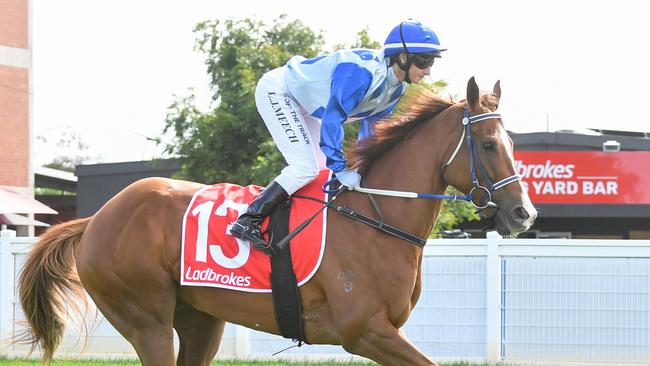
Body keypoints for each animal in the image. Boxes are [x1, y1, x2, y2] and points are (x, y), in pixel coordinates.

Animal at [17, 76, 536, 364]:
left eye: (512, 142)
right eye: (489, 144)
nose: (523, 213)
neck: (375, 214)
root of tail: (97, 218)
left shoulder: (382, 331)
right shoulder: (365, 330)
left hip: (201, 319)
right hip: (146, 320)